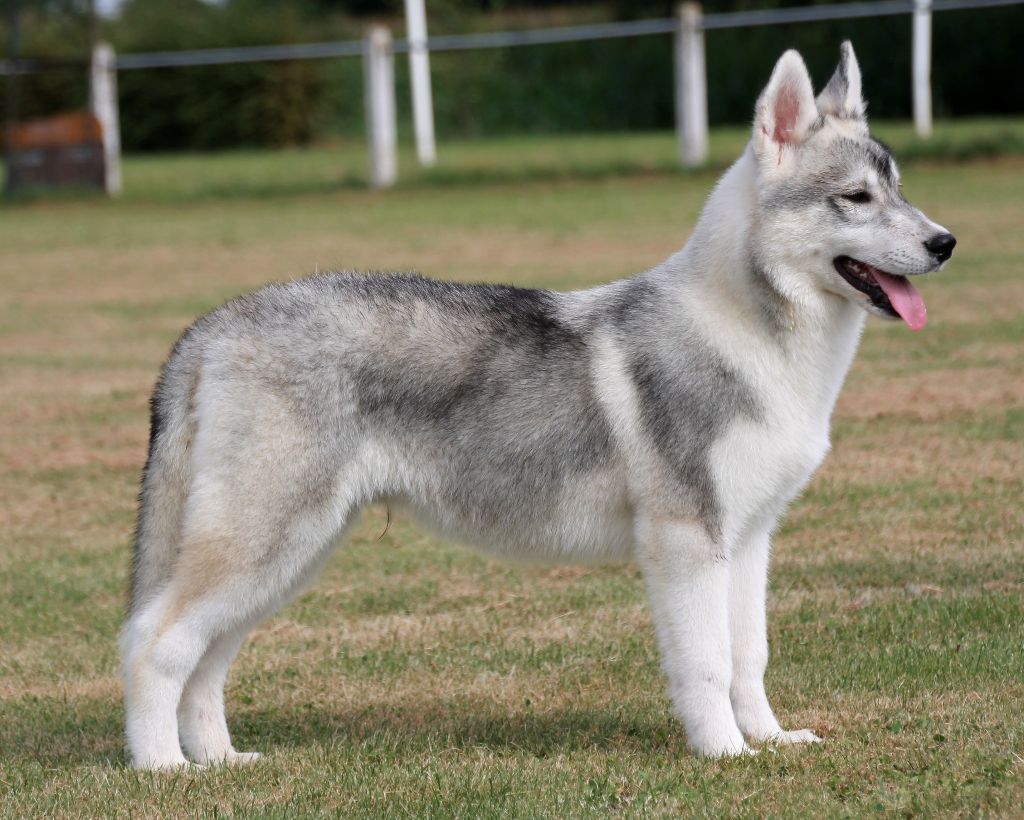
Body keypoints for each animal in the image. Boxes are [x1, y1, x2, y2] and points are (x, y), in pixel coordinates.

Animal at [121, 42, 956, 769]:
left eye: (901, 190)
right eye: (856, 198)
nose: (947, 242)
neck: (754, 340)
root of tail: (213, 325)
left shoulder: (748, 540)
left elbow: (749, 657)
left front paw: (771, 742)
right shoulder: (687, 542)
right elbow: (709, 665)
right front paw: (724, 755)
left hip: (287, 557)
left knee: (205, 660)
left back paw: (221, 760)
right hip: (263, 543)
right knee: (153, 645)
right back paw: (164, 767)